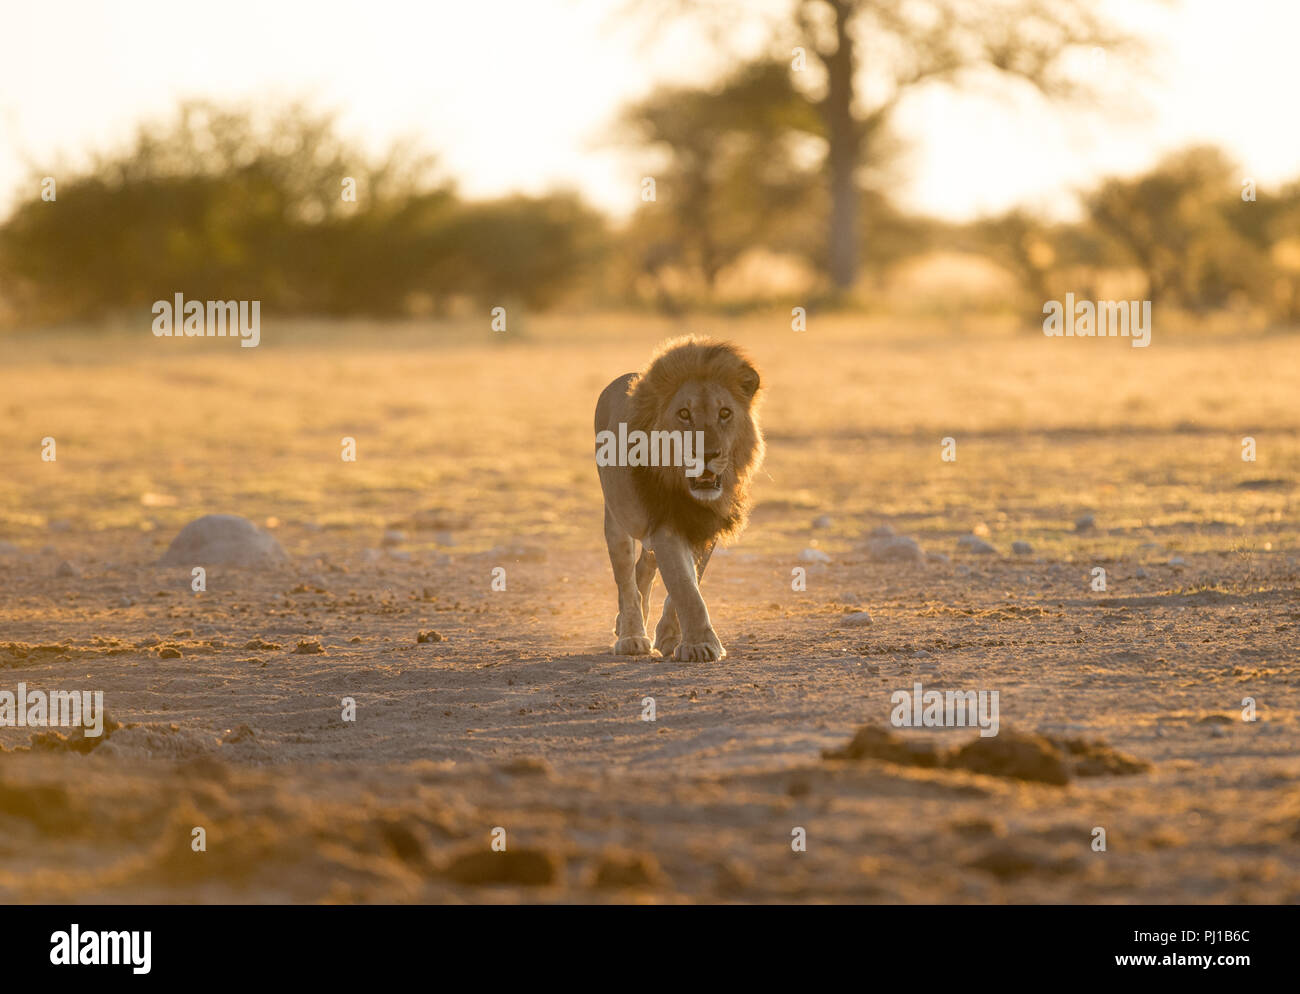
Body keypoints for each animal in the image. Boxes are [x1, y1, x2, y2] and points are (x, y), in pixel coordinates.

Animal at [594, 336, 764, 661]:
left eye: (725, 413)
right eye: (684, 414)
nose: (707, 455)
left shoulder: (705, 526)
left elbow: (689, 581)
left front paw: (673, 638)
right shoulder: (666, 523)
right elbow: (685, 587)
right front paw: (701, 645)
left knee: (644, 569)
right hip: (615, 515)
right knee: (626, 580)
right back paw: (631, 636)